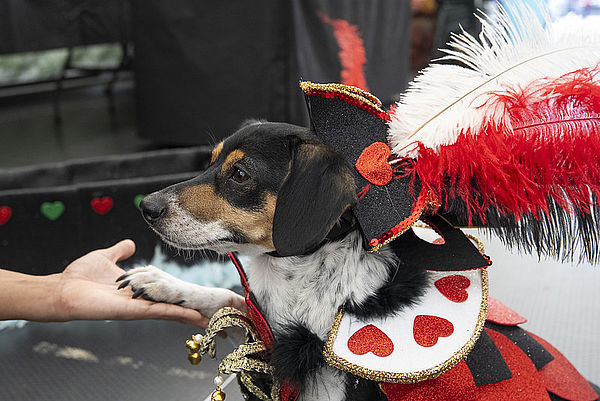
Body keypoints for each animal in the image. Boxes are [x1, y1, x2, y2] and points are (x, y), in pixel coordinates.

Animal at [119, 119, 596, 400]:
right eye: (211, 161)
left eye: (240, 175)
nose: (148, 208)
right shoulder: (267, 328)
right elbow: (225, 298)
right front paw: (161, 283)